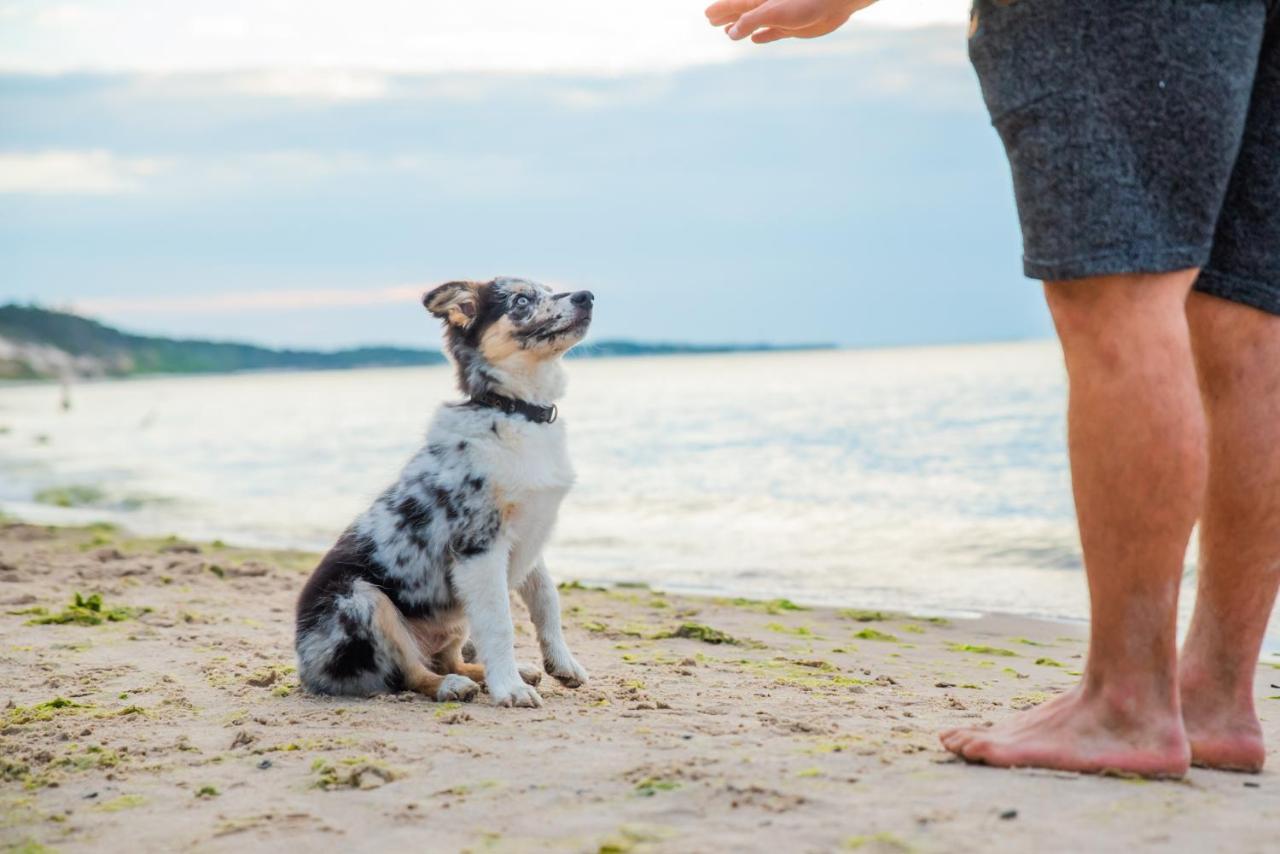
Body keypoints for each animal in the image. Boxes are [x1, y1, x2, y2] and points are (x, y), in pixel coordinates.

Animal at [298, 277, 593, 706]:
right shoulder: (479, 546)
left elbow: (546, 599)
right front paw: (509, 690)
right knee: (411, 671)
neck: (513, 410)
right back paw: (454, 685)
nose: (587, 297)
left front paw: (563, 664)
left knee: (449, 658)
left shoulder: (529, 533)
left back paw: (497, 672)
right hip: (361, 598)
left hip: (453, 621)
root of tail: (305, 669)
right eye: (521, 300)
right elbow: (500, 623)